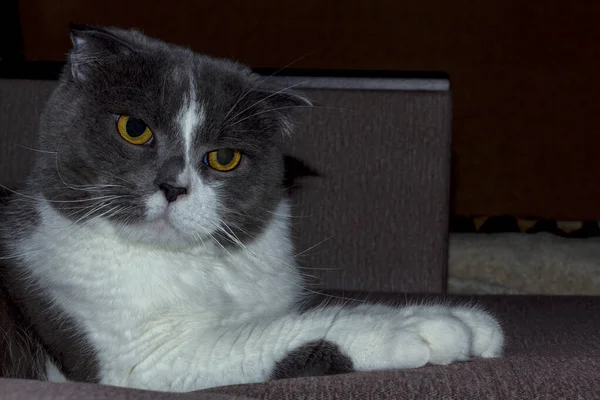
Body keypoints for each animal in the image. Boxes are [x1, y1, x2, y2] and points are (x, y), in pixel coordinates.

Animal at [0, 26, 504, 392]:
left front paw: (472, 323)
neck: (198, 264)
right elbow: (281, 332)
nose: (173, 187)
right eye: (134, 128)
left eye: (224, 157)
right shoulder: (140, 359)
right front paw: (425, 326)